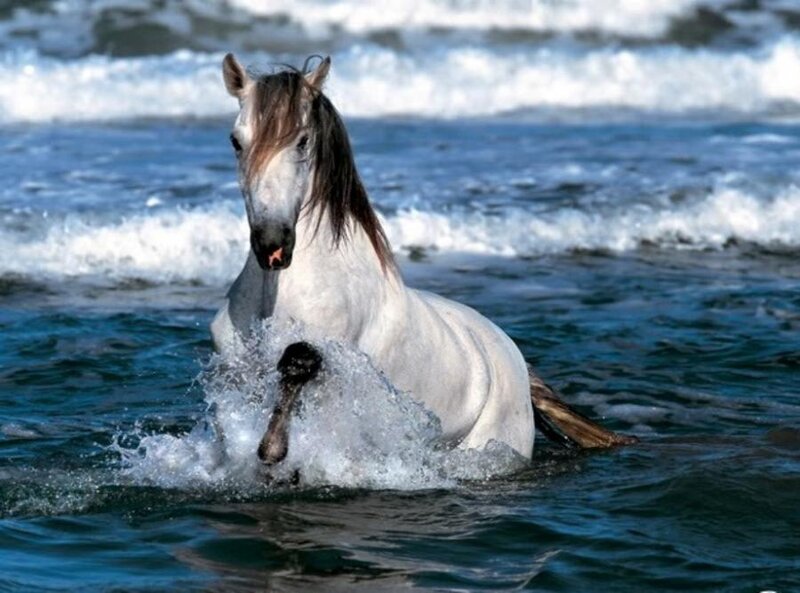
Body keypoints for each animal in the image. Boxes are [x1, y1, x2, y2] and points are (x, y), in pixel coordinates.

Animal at [211, 54, 635, 464]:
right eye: (235, 141)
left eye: (302, 141)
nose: (272, 244)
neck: (279, 293)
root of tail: (514, 357)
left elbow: (298, 362)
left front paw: (273, 450)